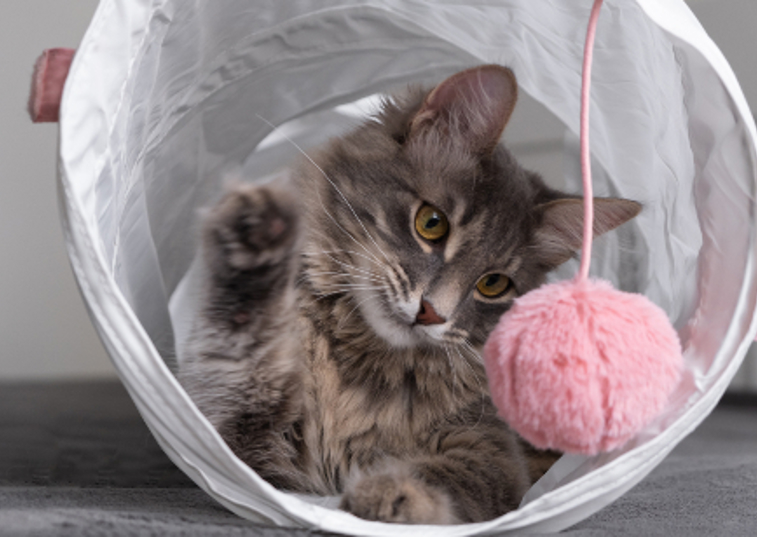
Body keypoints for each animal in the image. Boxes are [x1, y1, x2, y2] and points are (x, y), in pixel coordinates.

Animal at [177, 63, 636, 524]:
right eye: (431, 223)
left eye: (493, 284)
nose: (432, 312)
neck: (358, 361)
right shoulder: (238, 437)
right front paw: (253, 238)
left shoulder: (492, 453)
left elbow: (444, 476)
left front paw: (391, 493)